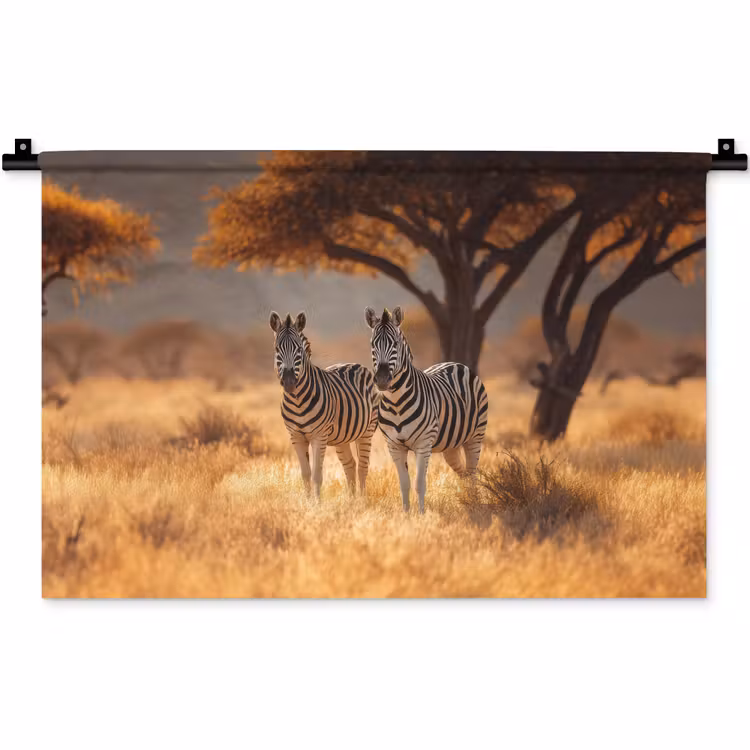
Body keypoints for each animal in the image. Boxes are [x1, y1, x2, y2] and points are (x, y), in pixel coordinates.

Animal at [270, 311, 379, 497]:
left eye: (299, 349)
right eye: (277, 349)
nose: (290, 382)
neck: (297, 401)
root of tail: (356, 364)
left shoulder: (319, 436)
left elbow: (316, 475)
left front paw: (317, 503)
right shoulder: (296, 437)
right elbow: (305, 474)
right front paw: (307, 502)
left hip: (367, 431)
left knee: (363, 468)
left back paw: (361, 500)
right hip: (342, 437)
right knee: (350, 465)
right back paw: (351, 501)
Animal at [365, 306, 488, 513]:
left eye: (395, 344)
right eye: (373, 344)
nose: (381, 379)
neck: (396, 403)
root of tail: (456, 363)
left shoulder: (423, 444)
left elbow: (419, 484)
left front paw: (422, 515)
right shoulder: (394, 446)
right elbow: (404, 484)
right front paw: (406, 514)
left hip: (475, 436)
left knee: (471, 473)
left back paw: (474, 504)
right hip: (451, 445)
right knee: (463, 473)